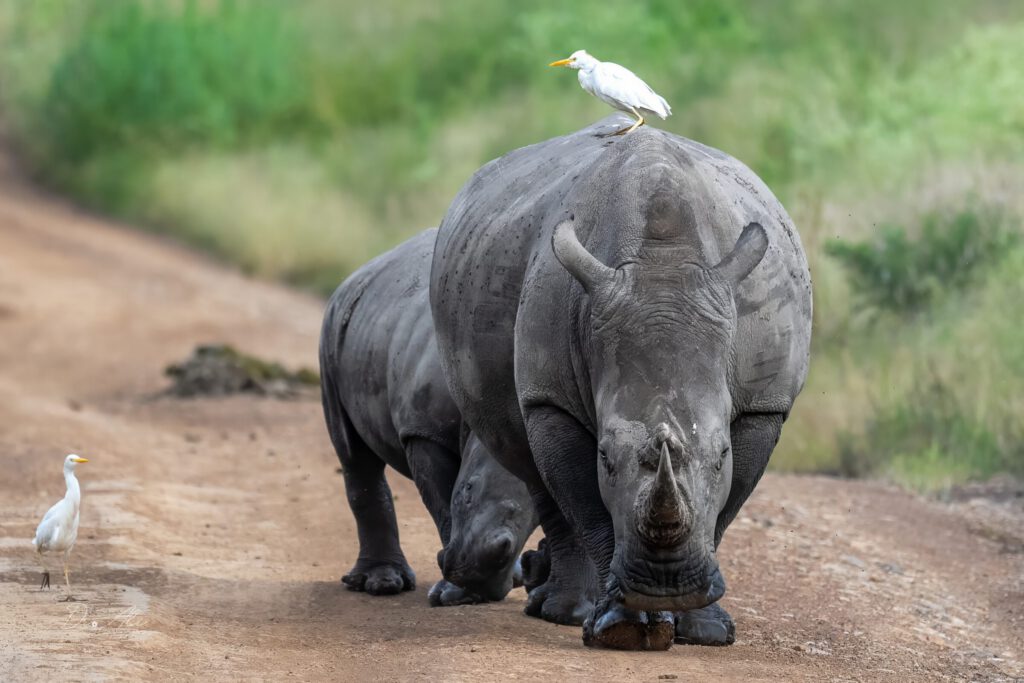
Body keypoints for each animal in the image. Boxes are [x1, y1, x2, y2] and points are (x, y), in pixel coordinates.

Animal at [319, 228, 537, 605]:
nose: (485, 580)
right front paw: (455, 595)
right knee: (353, 454)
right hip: (333, 329)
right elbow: (443, 503)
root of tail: (363, 270)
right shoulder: (423, 429)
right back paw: (382, 585)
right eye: (468, 488)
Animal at [430, 115, 811, 649]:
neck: (662, 263)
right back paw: (564, 612)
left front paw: (705, 632)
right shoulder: (550, 396)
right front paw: (621, 629)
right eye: (605, 457)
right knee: (536, 474)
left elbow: (725, 507)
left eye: (721, 455)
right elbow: (587, 506)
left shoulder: (764, 402)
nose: (665, 586)